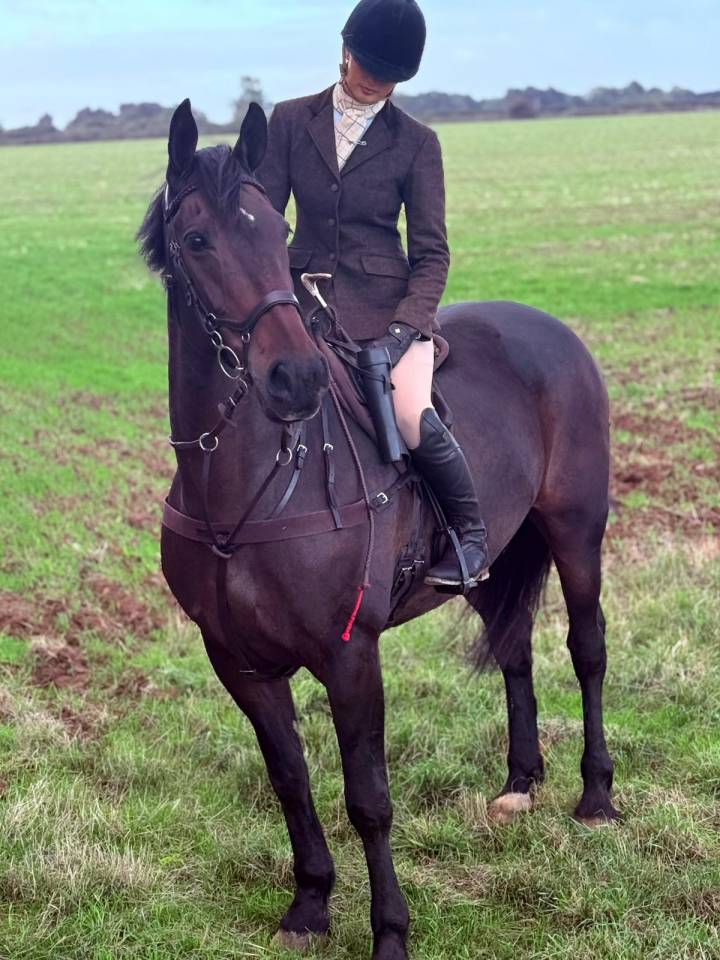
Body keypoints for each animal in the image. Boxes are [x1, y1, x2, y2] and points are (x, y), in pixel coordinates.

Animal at [137, 99, 619, 960]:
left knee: (586, 650)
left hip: (575, 533)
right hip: (490, 559)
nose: (293, 378)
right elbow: (290, 780)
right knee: (515, 650)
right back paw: (519, 784)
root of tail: (553, 332)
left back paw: (595, 796)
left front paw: (390, 929)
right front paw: (309, 905)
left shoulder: (349, 655)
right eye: (198, 241)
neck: (245, 486)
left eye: (275, 233)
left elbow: (368, 798)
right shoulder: (238, 662)